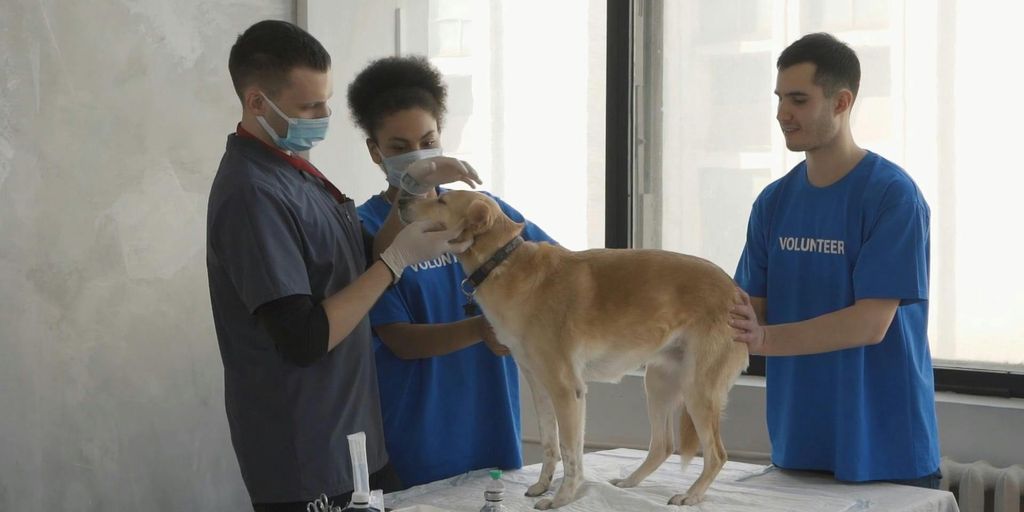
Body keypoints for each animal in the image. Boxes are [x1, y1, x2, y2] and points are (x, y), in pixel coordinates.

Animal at [401, 191, 753, 507]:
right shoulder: (540, 388)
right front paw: (542, 486)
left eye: (441, 200)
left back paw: (692, 495)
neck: (504, 264)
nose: (402, 200)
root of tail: (735, 290)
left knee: (716, 454)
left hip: (696, 389)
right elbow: (550, 445)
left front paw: (563, 497)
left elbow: (571, 453)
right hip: (658, 383)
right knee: (663, 445)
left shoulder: (566, 389)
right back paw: (630, 481)